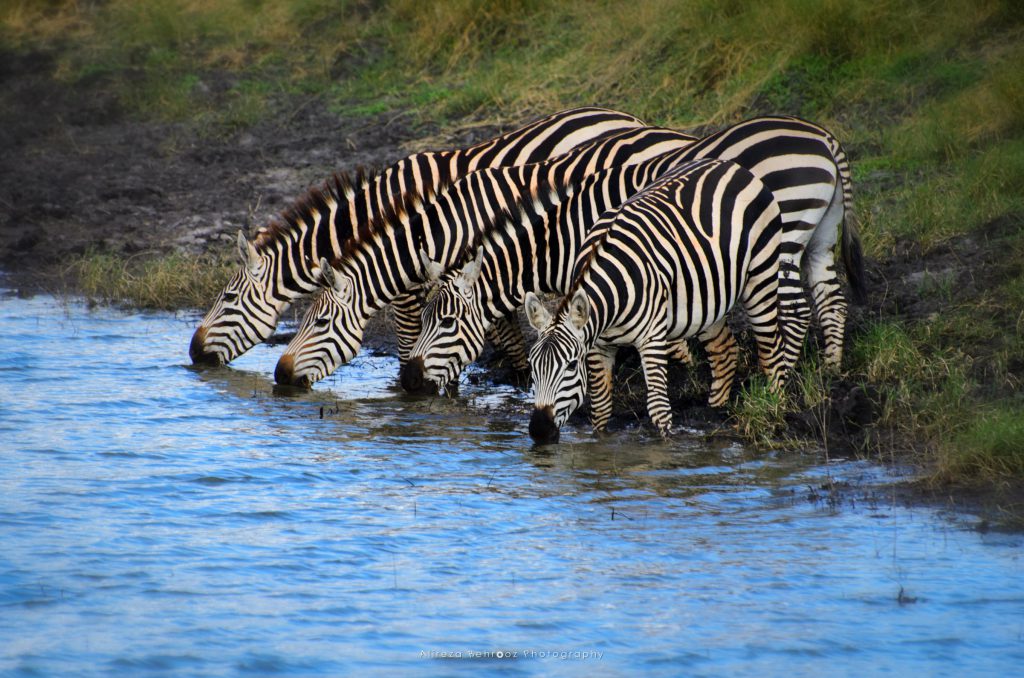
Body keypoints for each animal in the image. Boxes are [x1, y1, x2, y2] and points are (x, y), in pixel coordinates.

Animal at [407, 114, 864, 393]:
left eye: (446, 323)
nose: (411, 380)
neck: (560, 237)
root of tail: (823, 138)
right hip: (821, 232)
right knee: (831, 299)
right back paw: (831, 368)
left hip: (782, 234)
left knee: (795, 308)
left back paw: (785, 374)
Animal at [528, 159, 806, 446]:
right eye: (531, 366)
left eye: (571, 365)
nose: (539, 431)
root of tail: (733, 166)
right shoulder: (598, 346)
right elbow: (601, 409)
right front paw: (601, 443)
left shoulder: (651, 339)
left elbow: (659, 408)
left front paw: (666, 447)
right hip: (709, 298)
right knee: (724, 351)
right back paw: (715, 413)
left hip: (761, 274)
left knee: (771, 351)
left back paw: (775, 413)